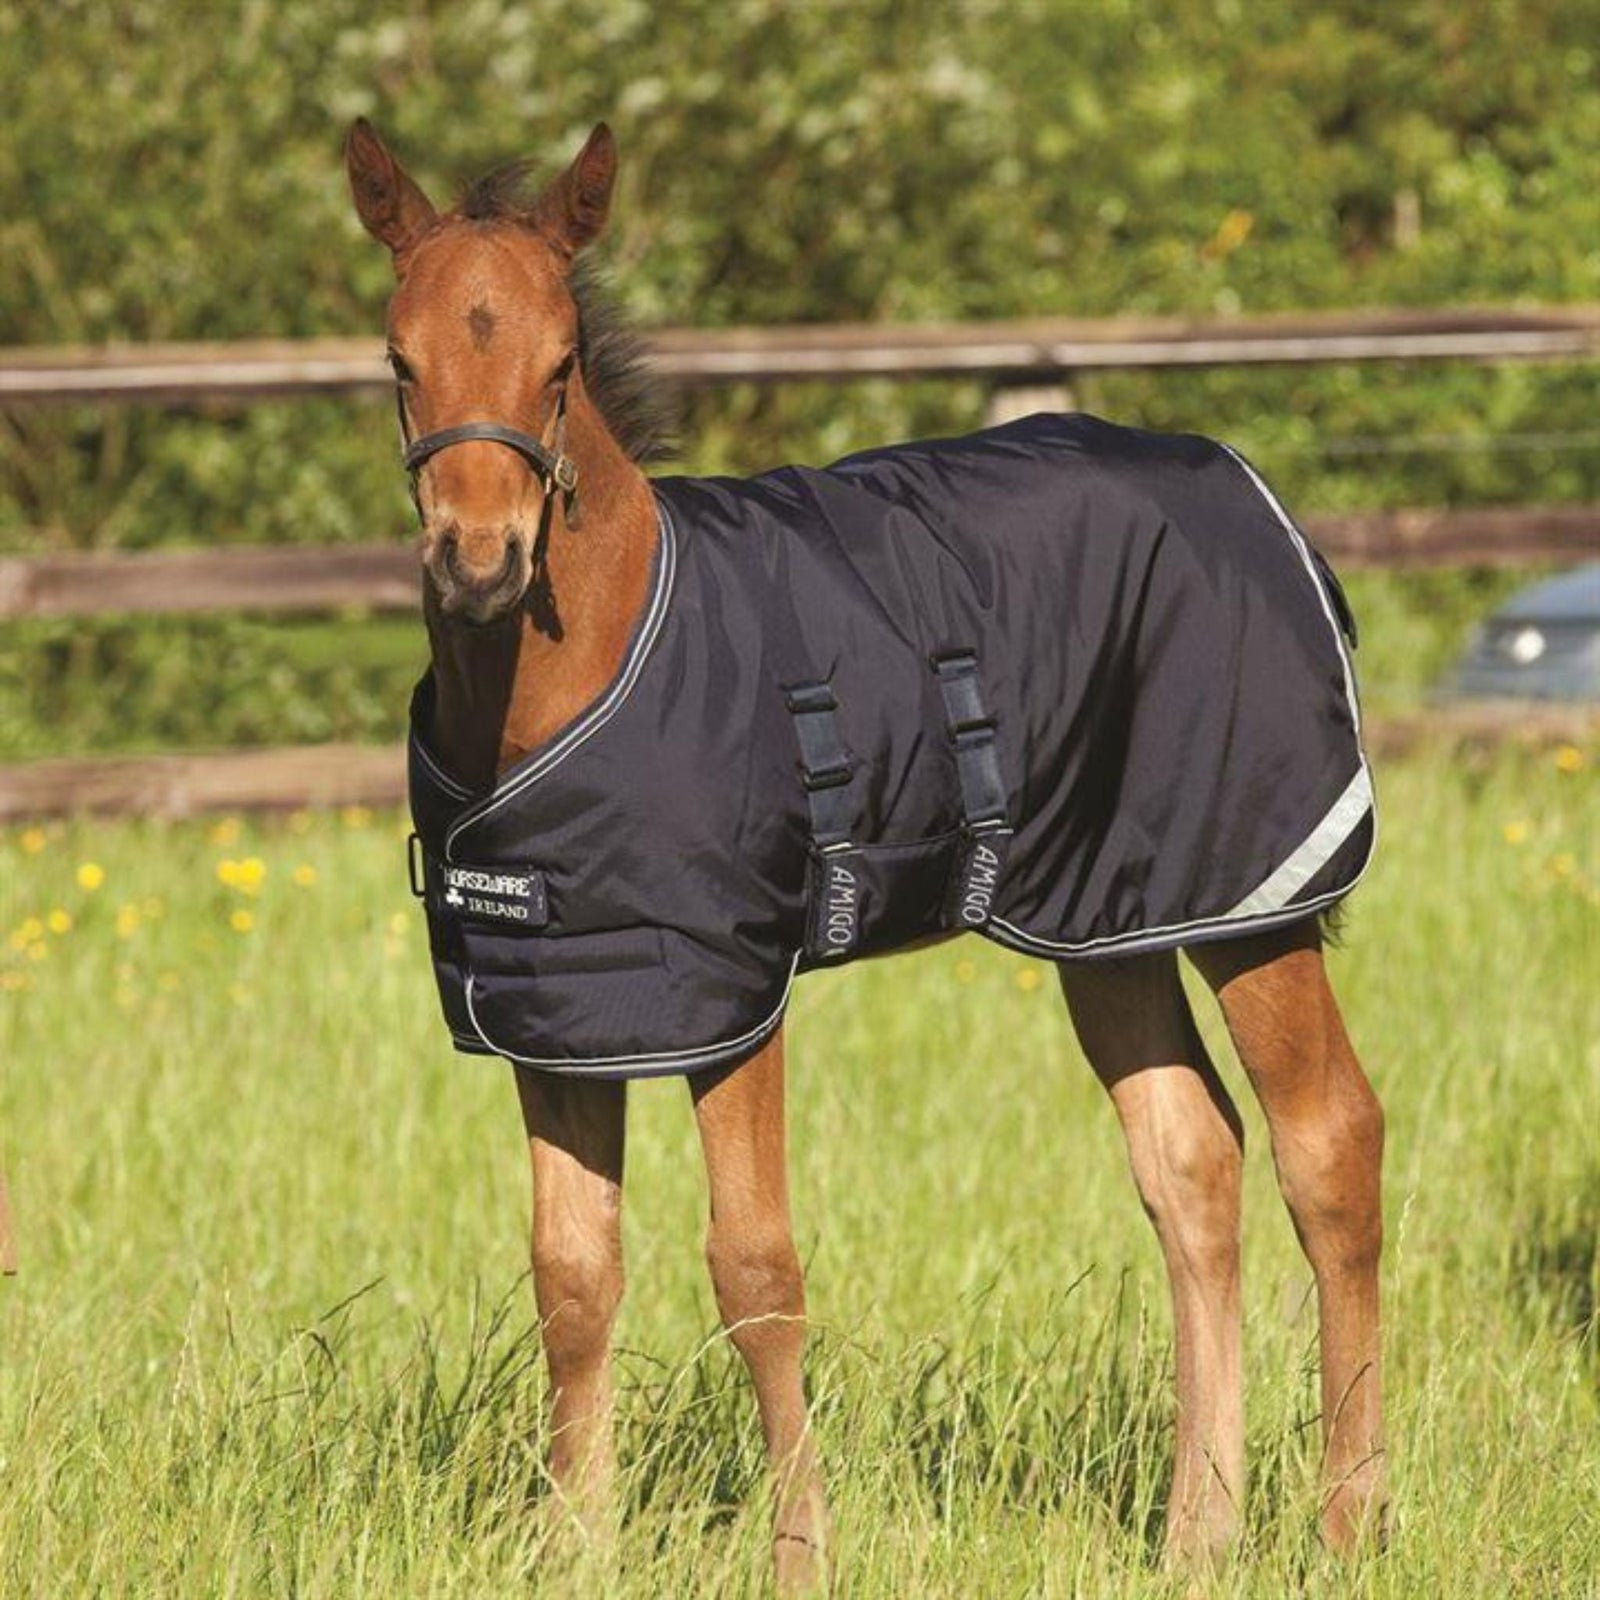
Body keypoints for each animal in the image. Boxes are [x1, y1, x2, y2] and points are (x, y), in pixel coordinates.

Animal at [346, 118, 1387, 1590]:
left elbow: (754, 1270)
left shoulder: (727, 989)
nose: (480, 563)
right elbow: (571, 1274)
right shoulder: (560, 1009)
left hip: (1247, 897)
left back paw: (1348, 1524)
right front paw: (570, 1548)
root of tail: (1252, 490)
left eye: (559, 363)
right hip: (1108, 917)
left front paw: (799, 1551)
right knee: (1192, 1159)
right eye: (399, 359)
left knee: (1328, 1143)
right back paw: (1200, 1532)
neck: (592, 657)